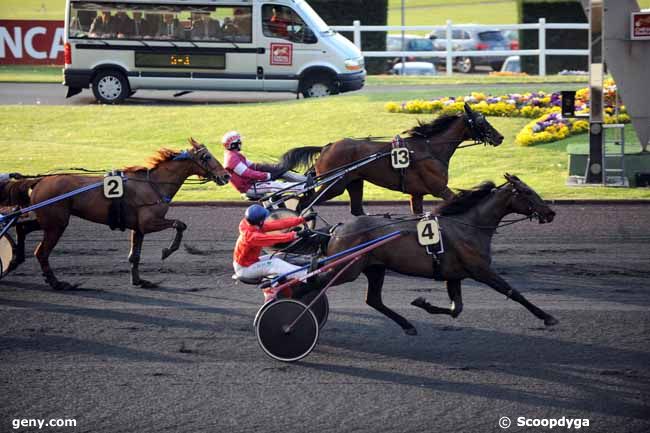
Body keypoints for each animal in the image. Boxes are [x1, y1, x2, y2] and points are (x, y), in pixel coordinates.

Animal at [1, 137, 229, 288]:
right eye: (207, 156)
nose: (226, 176)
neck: (152, 184)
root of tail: (39, 180)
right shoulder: (149, 222)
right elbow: (180, 224)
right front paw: (167, 250)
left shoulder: (138, 228)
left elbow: (135, 256)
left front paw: (139, 280)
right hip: (56, 224)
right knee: (41, 252)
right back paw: (56, 282)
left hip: (48, 220)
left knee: (23, 228)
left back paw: (15, 259)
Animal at [278, 103, 502, 214]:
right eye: (481, 121)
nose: (500, 137)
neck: (430, 149)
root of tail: (327, 147)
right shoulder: (439, 189)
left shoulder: (417, 193)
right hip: (334, 186)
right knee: (304, 204)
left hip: (354, 182)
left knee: (357, 211)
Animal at [316, 174, 556, 336]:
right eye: (527, 192)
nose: (551, 212)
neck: (469, 226)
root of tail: (336, 229)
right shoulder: (481, 271)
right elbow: (513, 292)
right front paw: (547, 317)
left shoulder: (454, 275)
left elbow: (456, 309)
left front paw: (422, 303)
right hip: (346, 269)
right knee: (317, 283)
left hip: (375, 268)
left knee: (373, 299)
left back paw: (408, 325)